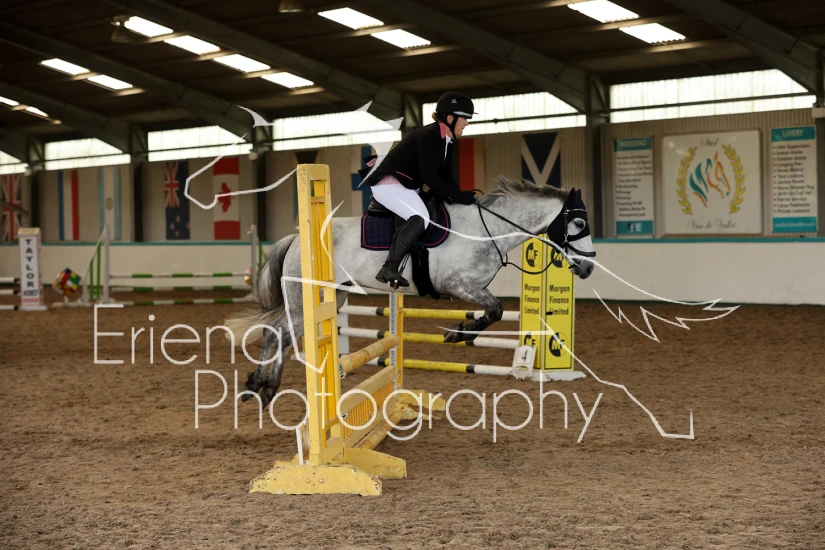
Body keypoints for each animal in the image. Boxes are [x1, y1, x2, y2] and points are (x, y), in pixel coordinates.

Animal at [226, 176, 596, 405]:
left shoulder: (472, 287)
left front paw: (460, 332)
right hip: (305, 299)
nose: (589, 267)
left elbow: (492, 311)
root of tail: (295, 238)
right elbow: (495, 310)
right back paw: (260, 386)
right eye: (578, 223)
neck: (486, 229)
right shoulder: (457, 284)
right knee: (276, 332)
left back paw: (261, 388)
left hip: (332, 296)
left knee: (284, 335)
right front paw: (457, 334)